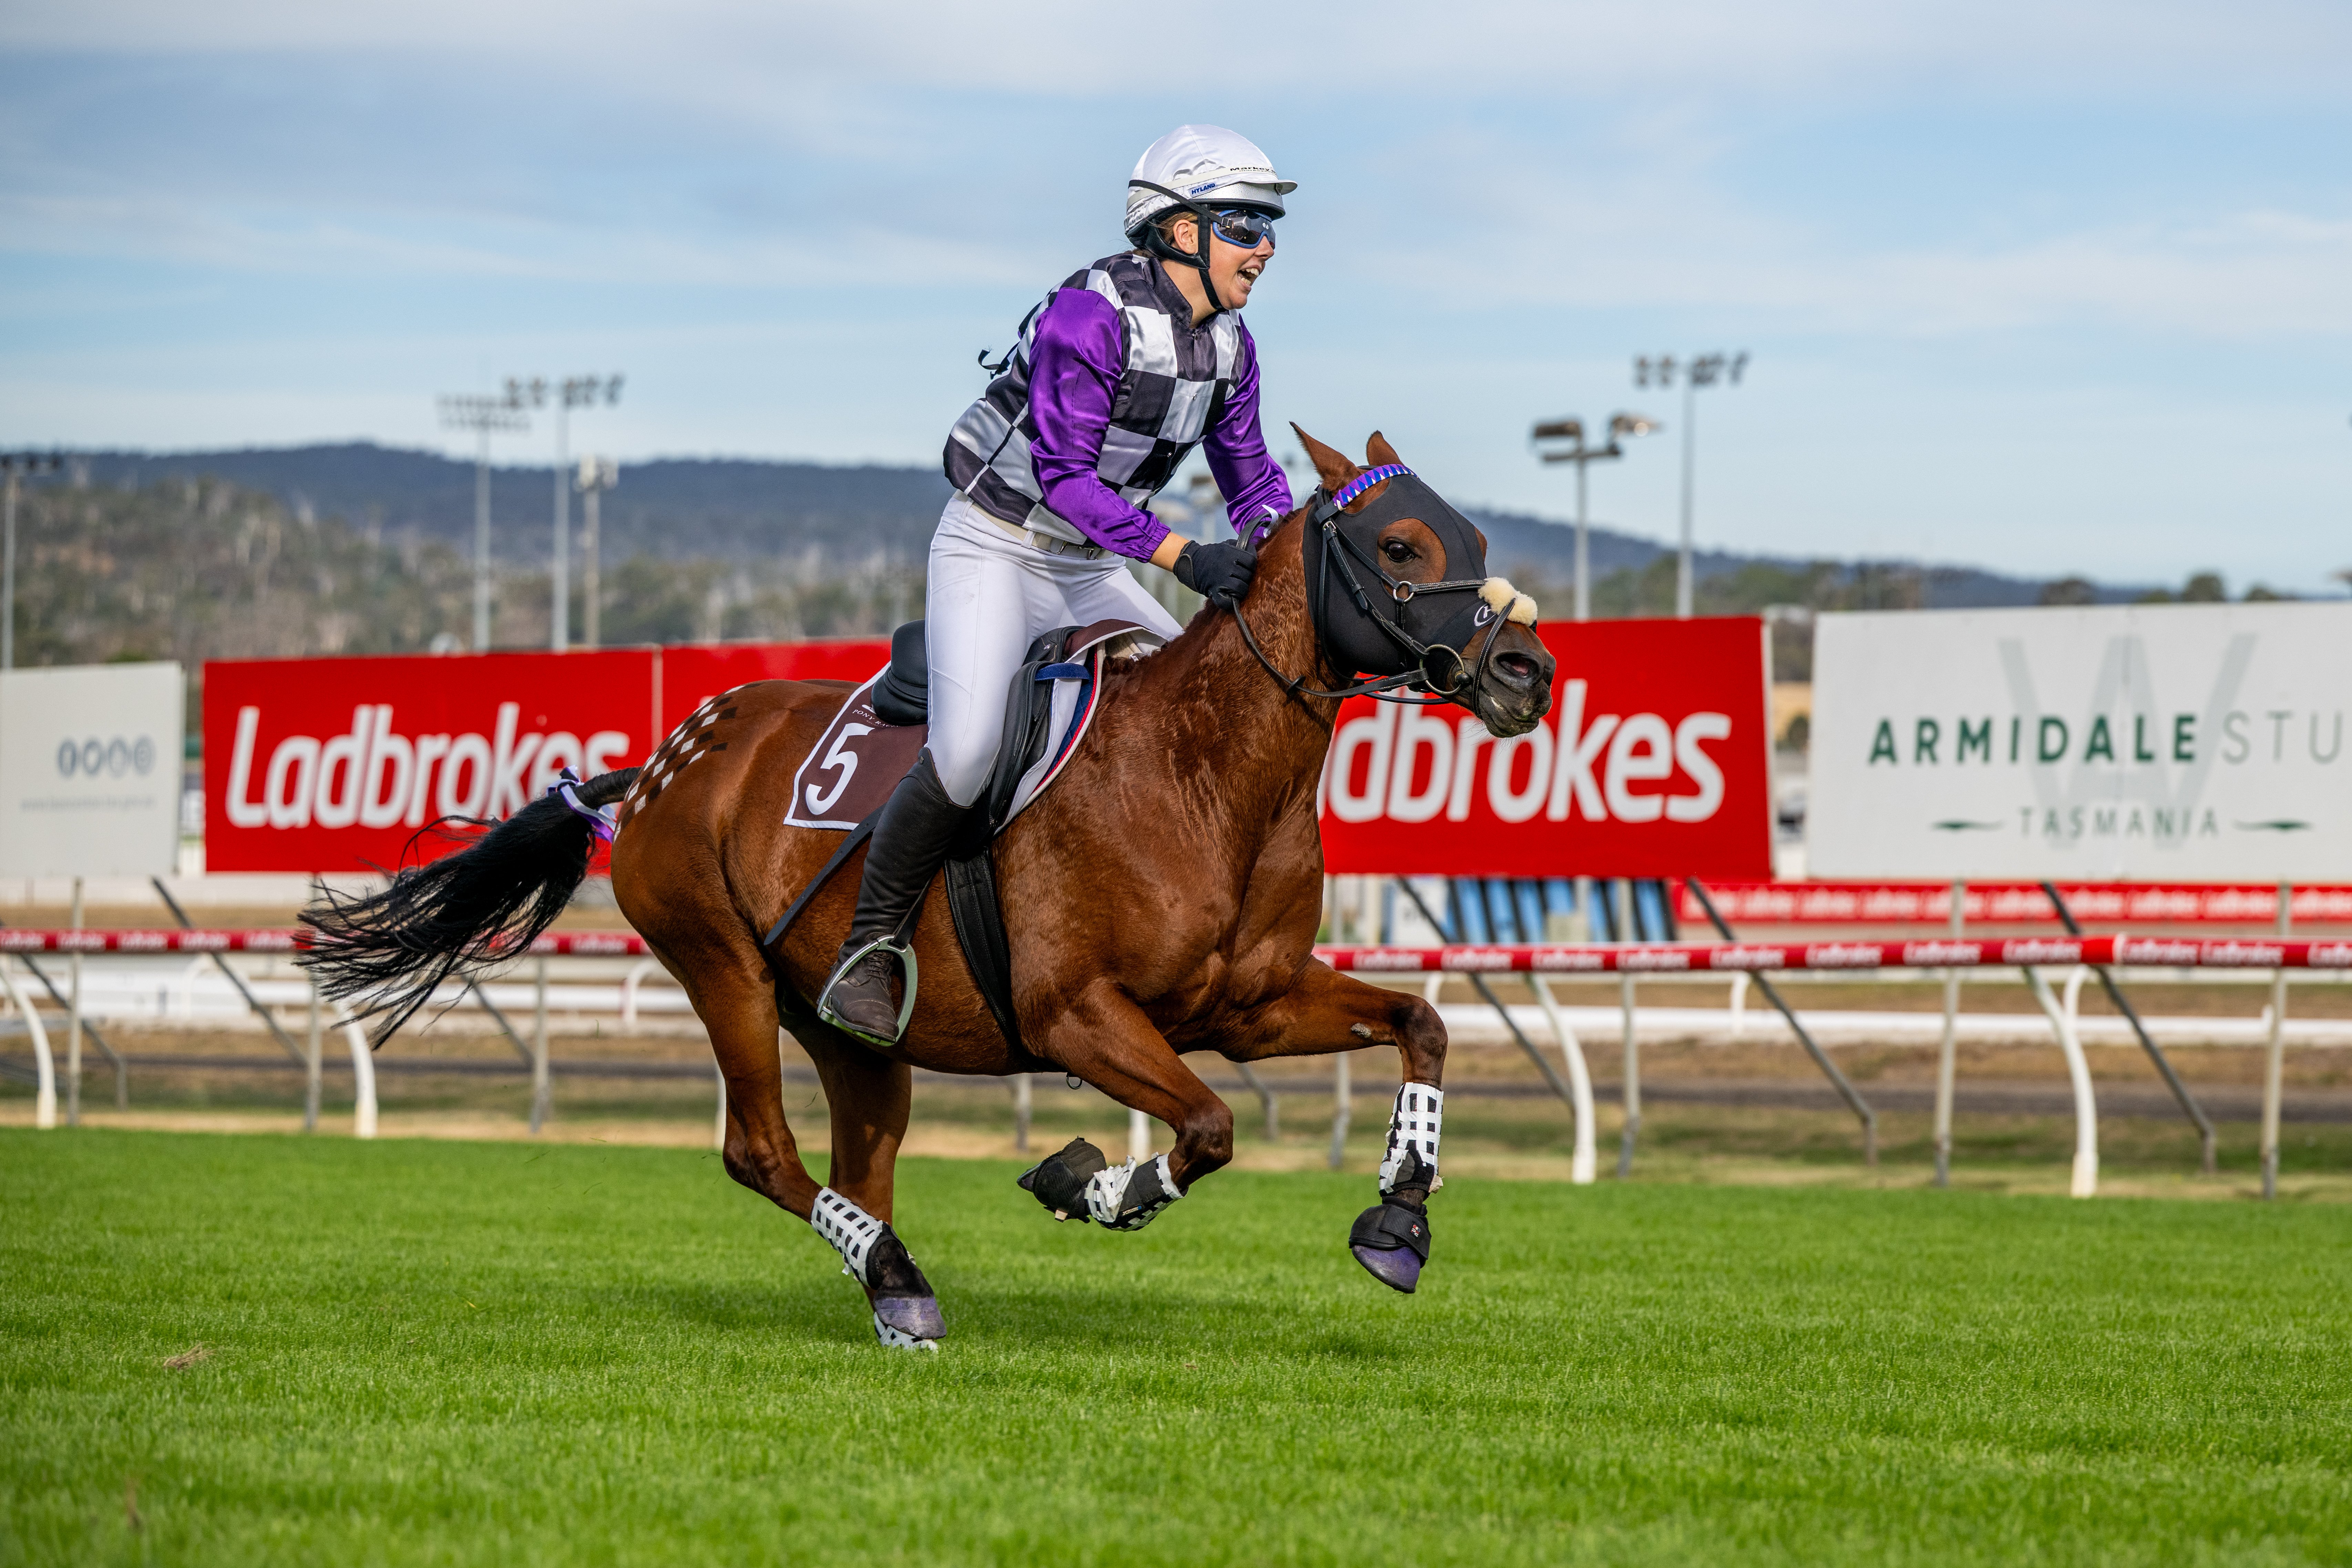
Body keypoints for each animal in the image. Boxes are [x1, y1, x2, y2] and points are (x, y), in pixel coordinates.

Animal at [300, 429, 1557, 1351]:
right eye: (1400, 544)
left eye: (1475, 534)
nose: (1525, 668)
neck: (1204, 775)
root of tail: (666, 755)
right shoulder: (1074, 1011)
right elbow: (1203, 1126)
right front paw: (1089, 1183)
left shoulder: (1247, 1005)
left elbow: (1421, 1021)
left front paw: (1398, 1212)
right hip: (719, 965)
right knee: (760, 1151)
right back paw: (897, 1272)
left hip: (851, 1034)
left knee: (862, 1159)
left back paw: (890, 1281)